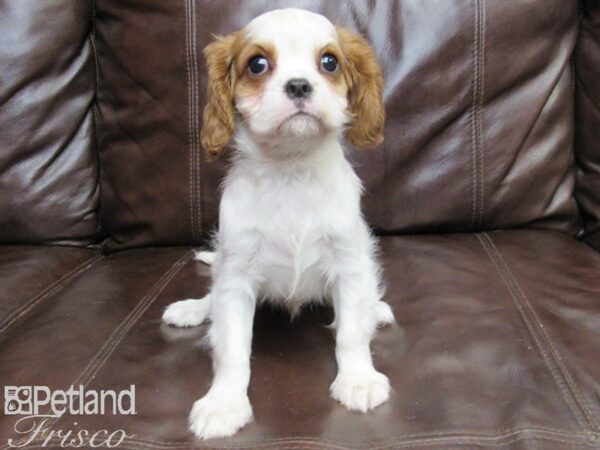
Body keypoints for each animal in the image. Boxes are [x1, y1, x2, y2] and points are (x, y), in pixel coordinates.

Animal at [162, 7, 394, 440]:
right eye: (257, 64)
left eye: (329, 62)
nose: (299, 85)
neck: (291, 171)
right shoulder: (235, 276)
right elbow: (232, 347)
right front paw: (224, 403)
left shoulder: (350, 263)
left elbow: (352, 332)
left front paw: (358, 379)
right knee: (211, 296)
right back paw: (193, 310)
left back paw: (378, 308)